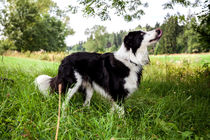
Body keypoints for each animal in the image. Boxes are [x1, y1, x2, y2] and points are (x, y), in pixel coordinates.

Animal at [34, 28, 162, 115]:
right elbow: (121, 113)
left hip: (88, 88)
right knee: (64, 102)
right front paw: (122, 126)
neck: (130, 58)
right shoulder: (118, 93)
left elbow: (113, 111)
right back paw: (64, 116)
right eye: (142, 34)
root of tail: (63, 59)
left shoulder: (114, 95)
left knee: (85, 104)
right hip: (72, 84)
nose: (158, 30)